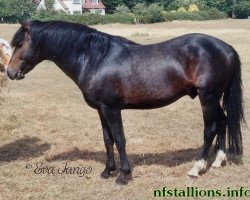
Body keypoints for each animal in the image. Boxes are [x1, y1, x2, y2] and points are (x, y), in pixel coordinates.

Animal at [6, 20, 243, 184]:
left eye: (20, 43)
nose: (9, 72)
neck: (95, 58)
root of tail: (226, 47)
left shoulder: (112, 109)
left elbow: (120, 139)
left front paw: (123, 175)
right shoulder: (101, 109)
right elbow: (107, 139)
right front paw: (107, 171)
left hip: (208, 98)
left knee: (210, 129)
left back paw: (196, 168)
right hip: (214, 99)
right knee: (224, 121)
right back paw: (218, 162)